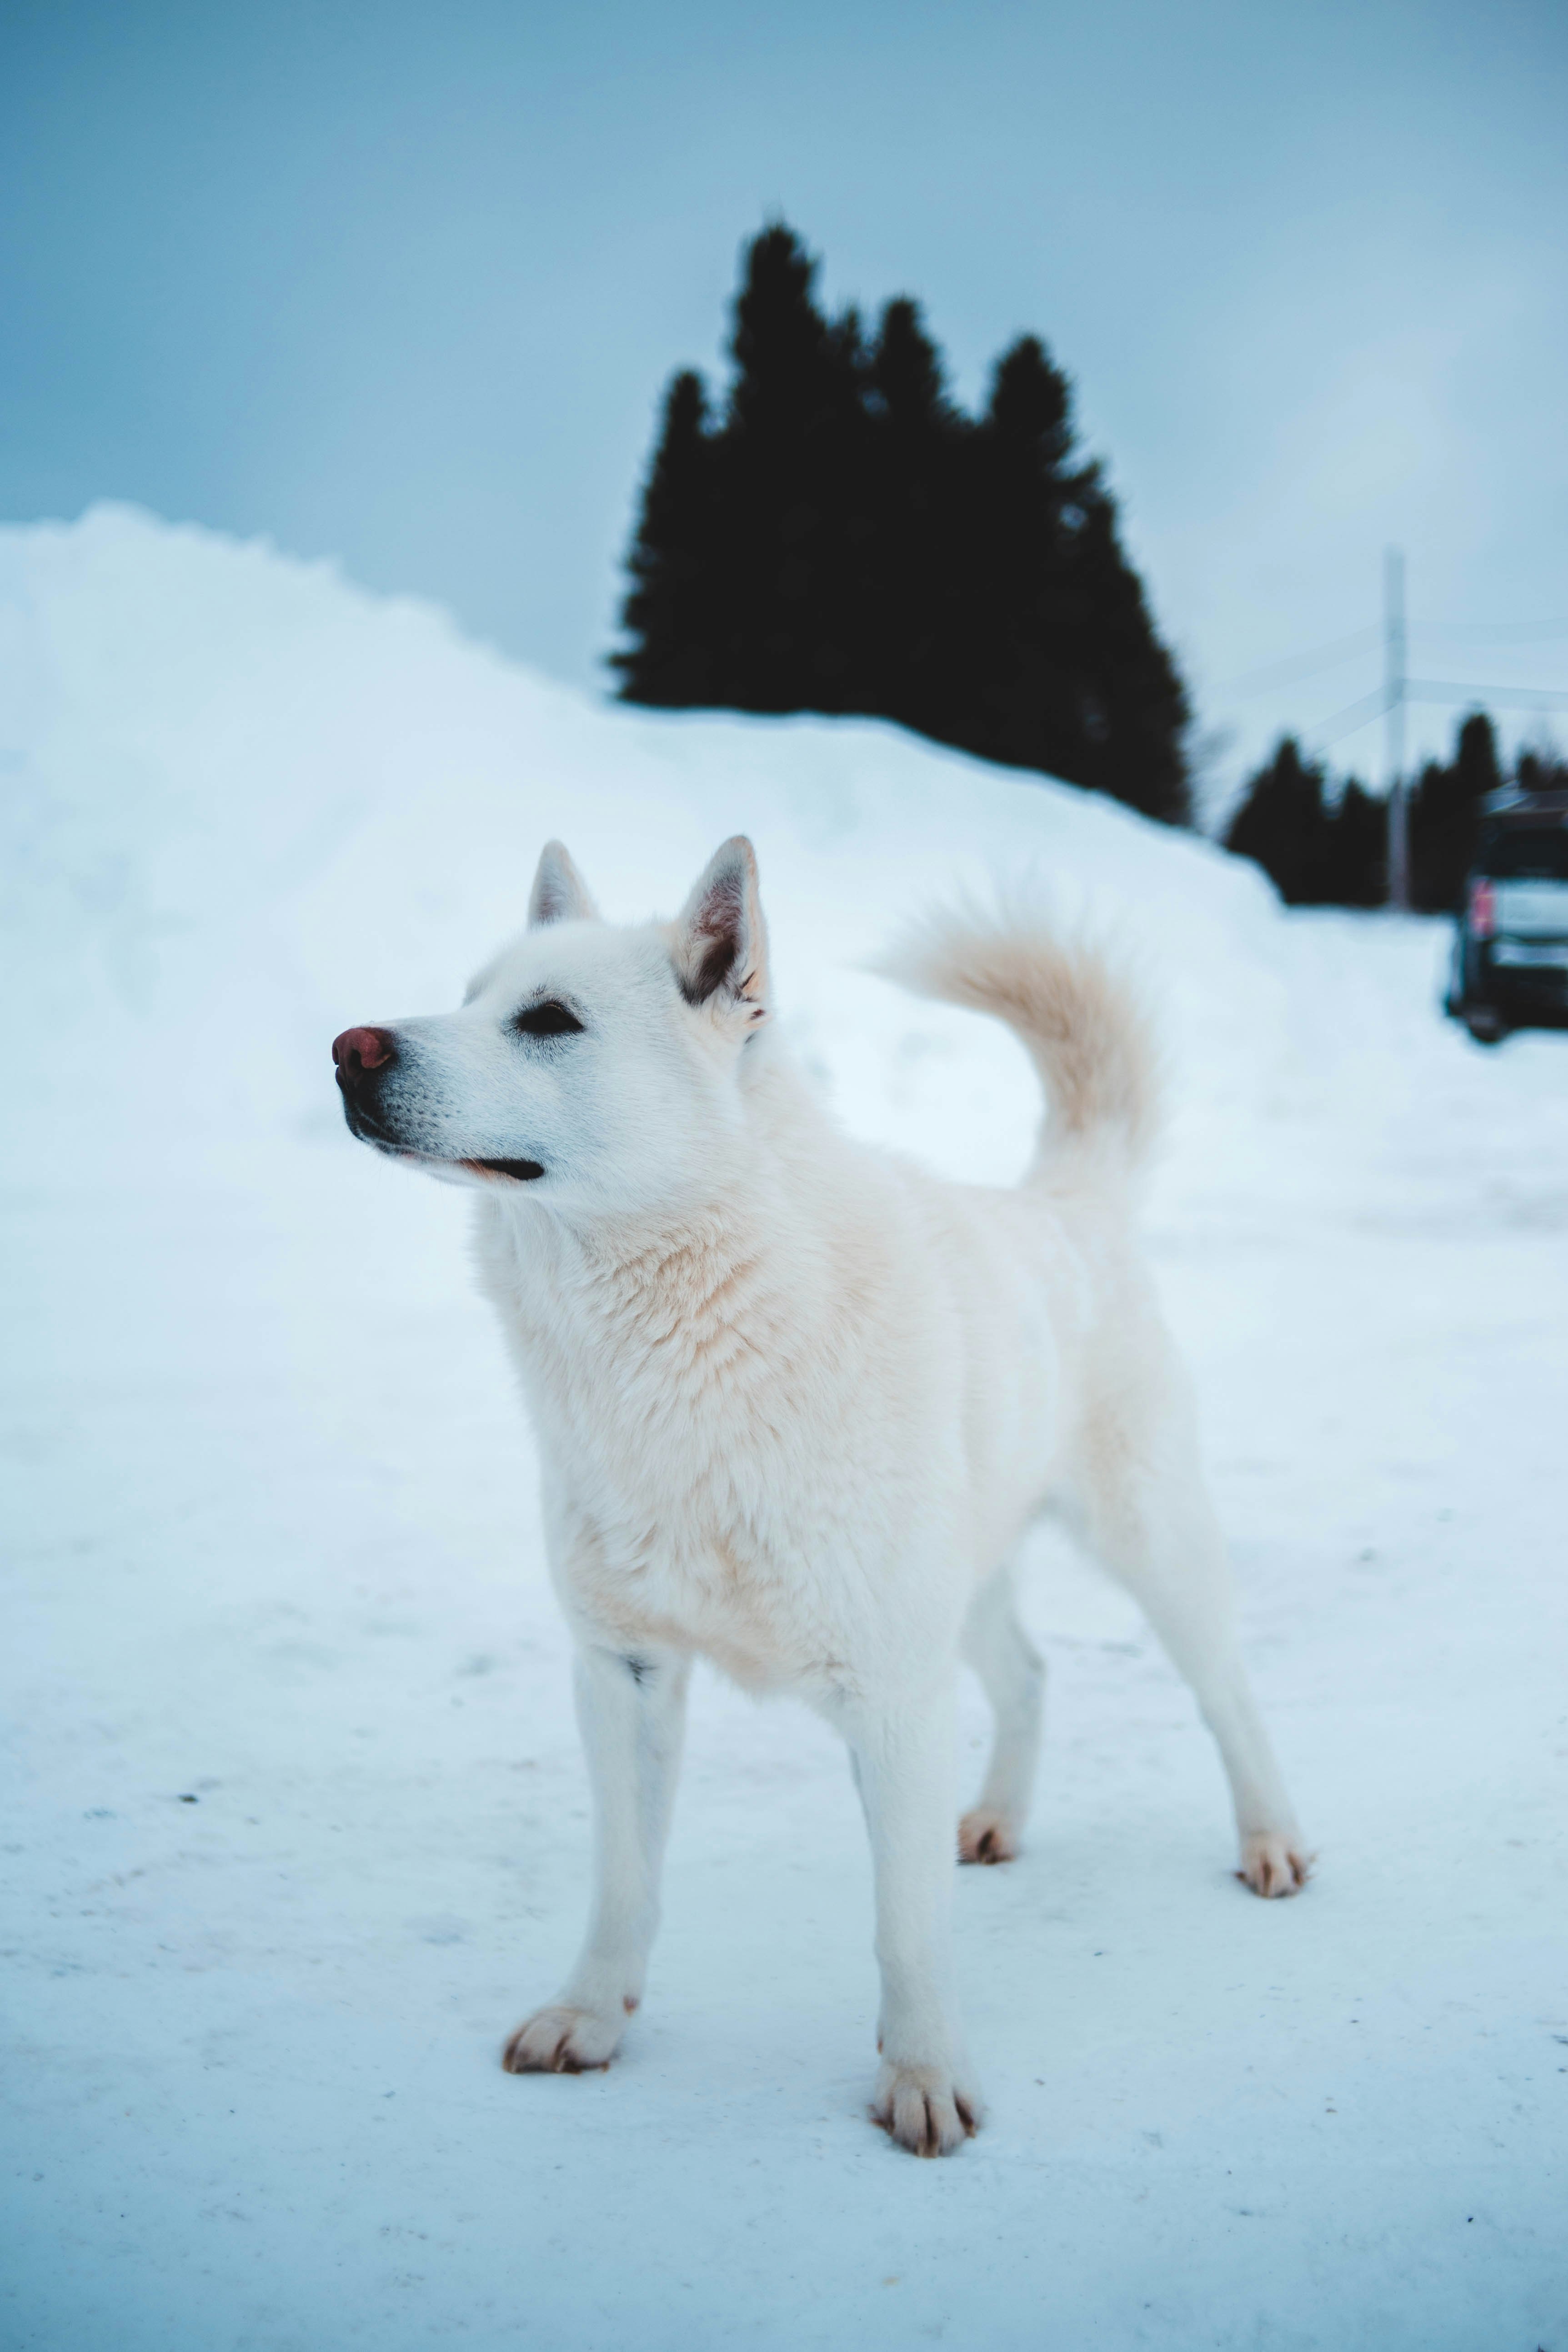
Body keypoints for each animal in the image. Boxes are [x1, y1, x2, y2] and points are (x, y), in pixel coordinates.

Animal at [334, 837, 1316, 2154]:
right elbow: (622, 1882)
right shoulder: (622, 1672)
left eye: (548, 1021)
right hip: (968, 1583)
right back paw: (995, 1818)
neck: (685, 1347)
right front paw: (590, 2018)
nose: (349, 1049)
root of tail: (1068, 1197)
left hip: (1150, 1544)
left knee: (1226, 1696)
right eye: (470, 996)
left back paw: (1270, 1839)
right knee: (1030, 1675)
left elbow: (905, 1927)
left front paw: (923, 2078)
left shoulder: (893, 1695)